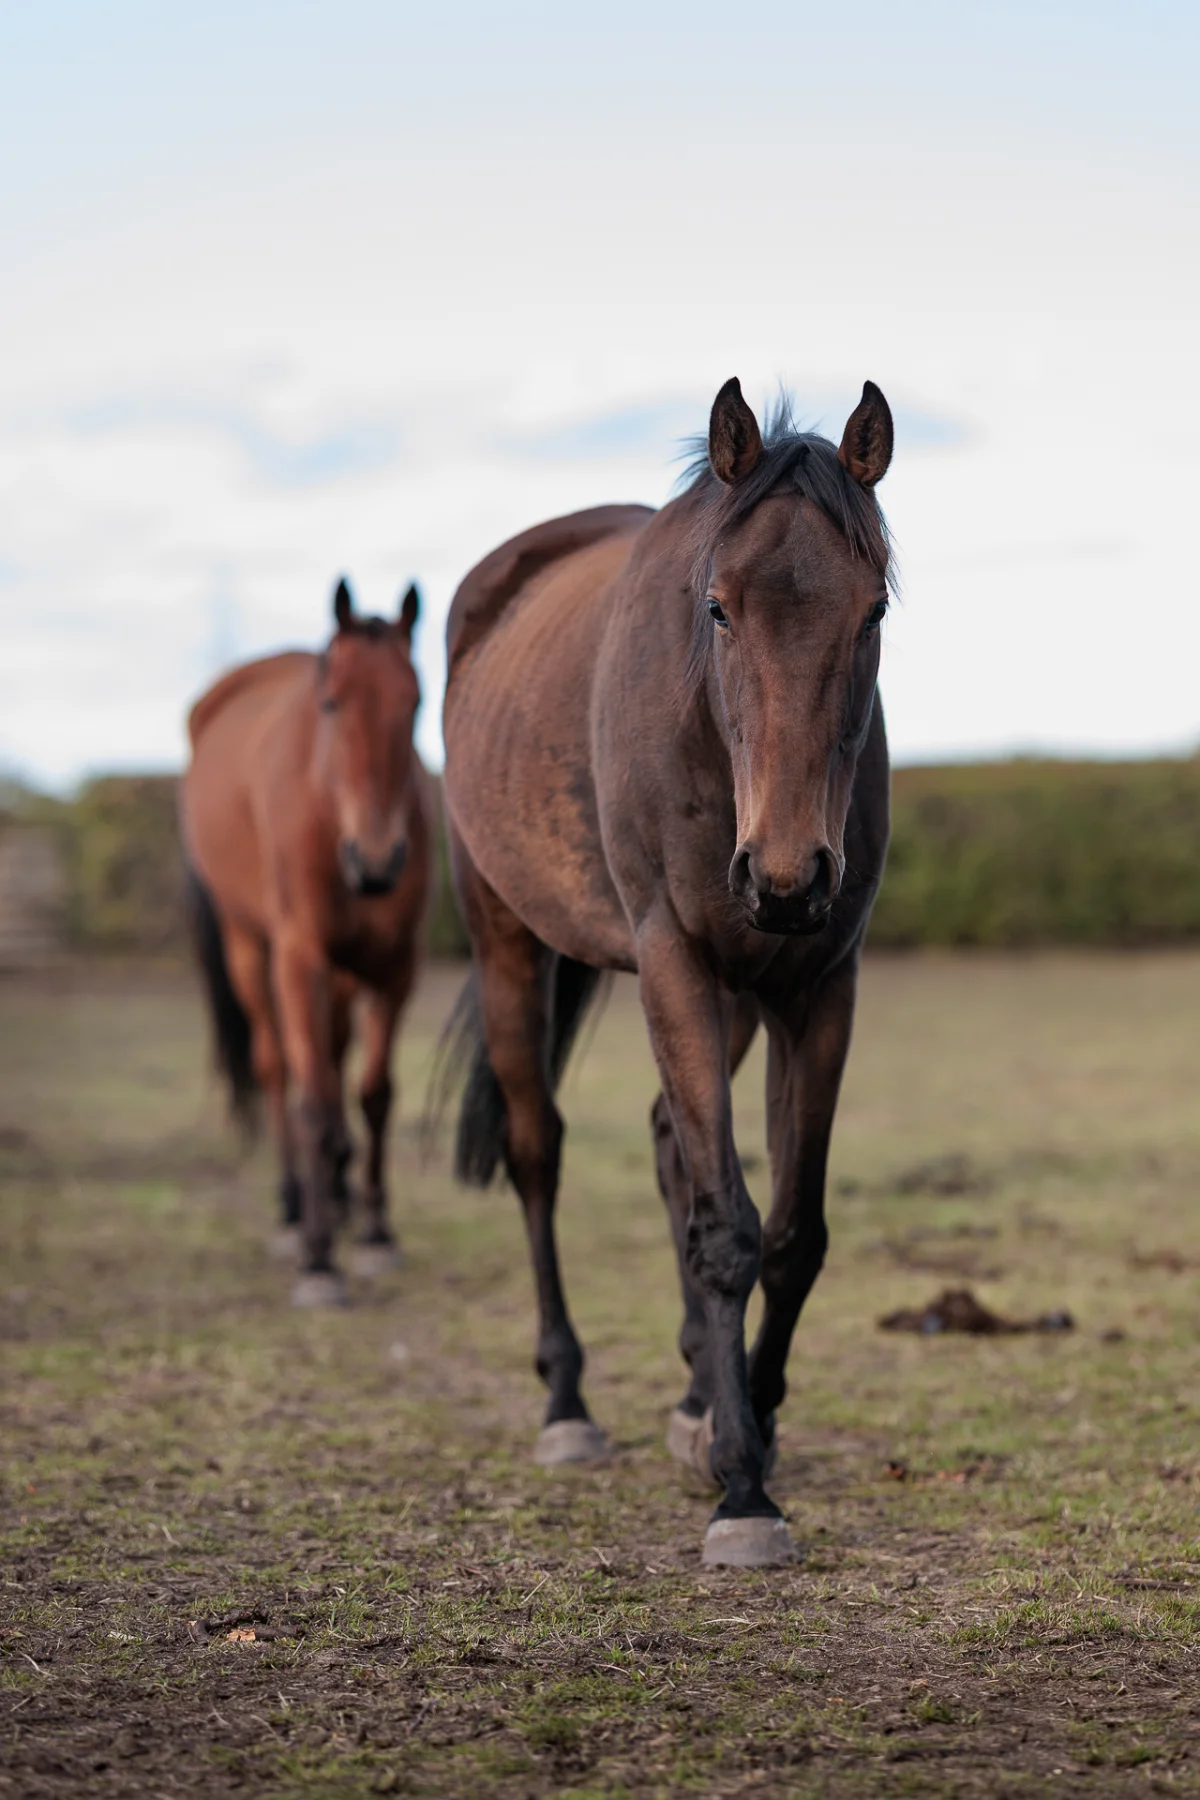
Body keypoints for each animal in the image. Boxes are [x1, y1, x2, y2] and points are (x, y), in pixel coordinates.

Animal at [181, 577, 432, 1305]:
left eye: (415, 703)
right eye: (331, 703)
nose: (376, 863)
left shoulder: (396, 965)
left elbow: (374, 1093)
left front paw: (375, 1232)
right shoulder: (300, 960)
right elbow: (315, 1096)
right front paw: (320, 1260)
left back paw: (340, 1197)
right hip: (249, 948)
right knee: (275, 1067)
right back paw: (296, 1207)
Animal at [440, 378, 894, 1565]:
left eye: (873, 610)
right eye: (719, 607)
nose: (785, 876)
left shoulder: (818, 985)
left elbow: (789, 1234)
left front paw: (744, 1422)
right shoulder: (672, 960)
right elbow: (727, 1230)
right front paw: (743, 1489)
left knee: (665, 1146)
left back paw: (696, 1394)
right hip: (511, 943)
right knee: (538, 1151)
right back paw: (568, 1407)